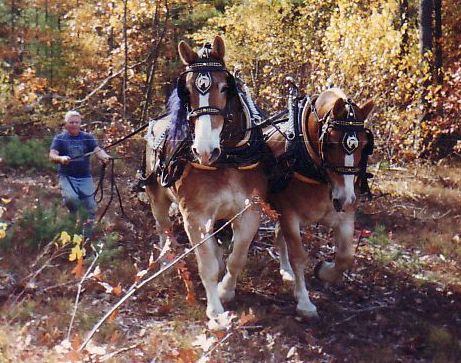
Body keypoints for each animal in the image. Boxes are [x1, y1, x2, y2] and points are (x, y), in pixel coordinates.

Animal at [144, 37, 266, 330]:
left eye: (224, 87)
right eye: (187, 90)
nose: (204, 150)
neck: (228, 159)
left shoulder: (251, 211)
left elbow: (237, 256)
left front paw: (226, 291)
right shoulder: (195, 216)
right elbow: (207, 265)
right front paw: (216, 311)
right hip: (157, 196)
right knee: (163, 228)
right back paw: (166, 259)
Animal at [262, 84, 374, 318]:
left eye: (363, 146)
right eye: (330, 144)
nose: (346, 199)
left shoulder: (344, 218)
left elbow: (345, 257)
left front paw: (323, 271)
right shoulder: (289, 215)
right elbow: (299, 256)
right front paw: (304, 302)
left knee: (278, 235)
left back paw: (286, 271)